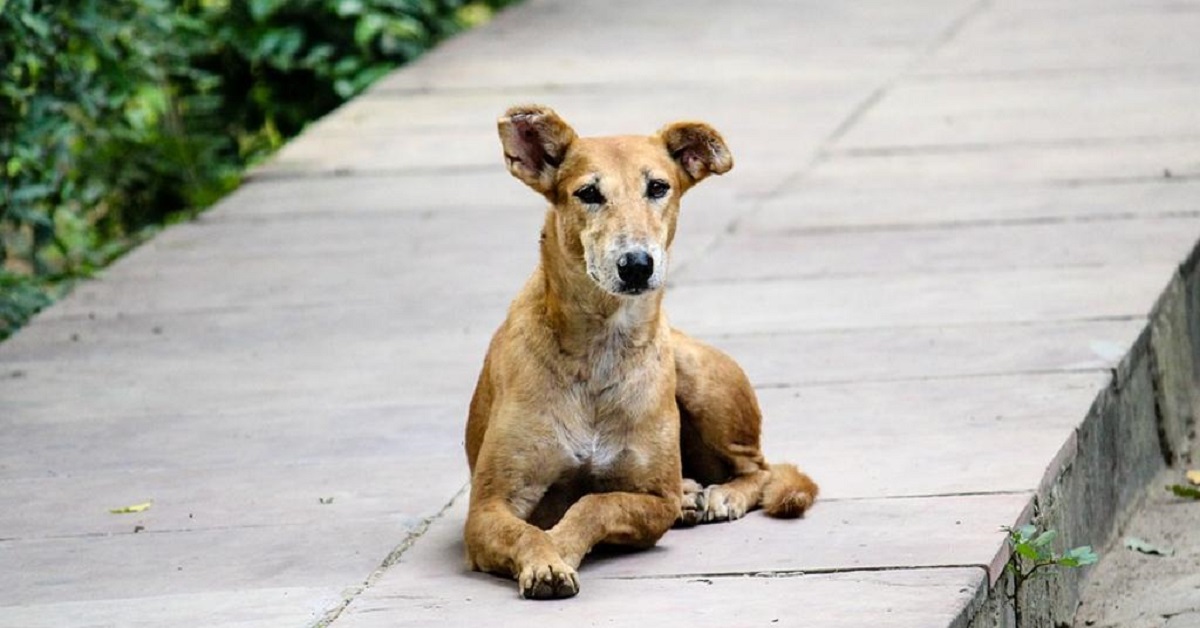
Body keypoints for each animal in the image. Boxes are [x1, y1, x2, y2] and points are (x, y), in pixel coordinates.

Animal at [460, 106, 816, 600]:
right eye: (588, 193)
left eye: (658, 187)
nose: (636, 265)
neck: (600, 346)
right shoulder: (488, 506)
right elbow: (526, 529)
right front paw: (545, 559)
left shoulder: (652, 500)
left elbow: (595, 503)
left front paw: (561, 545)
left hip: (697, 375)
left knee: (758, 467)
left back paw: (720, 494)